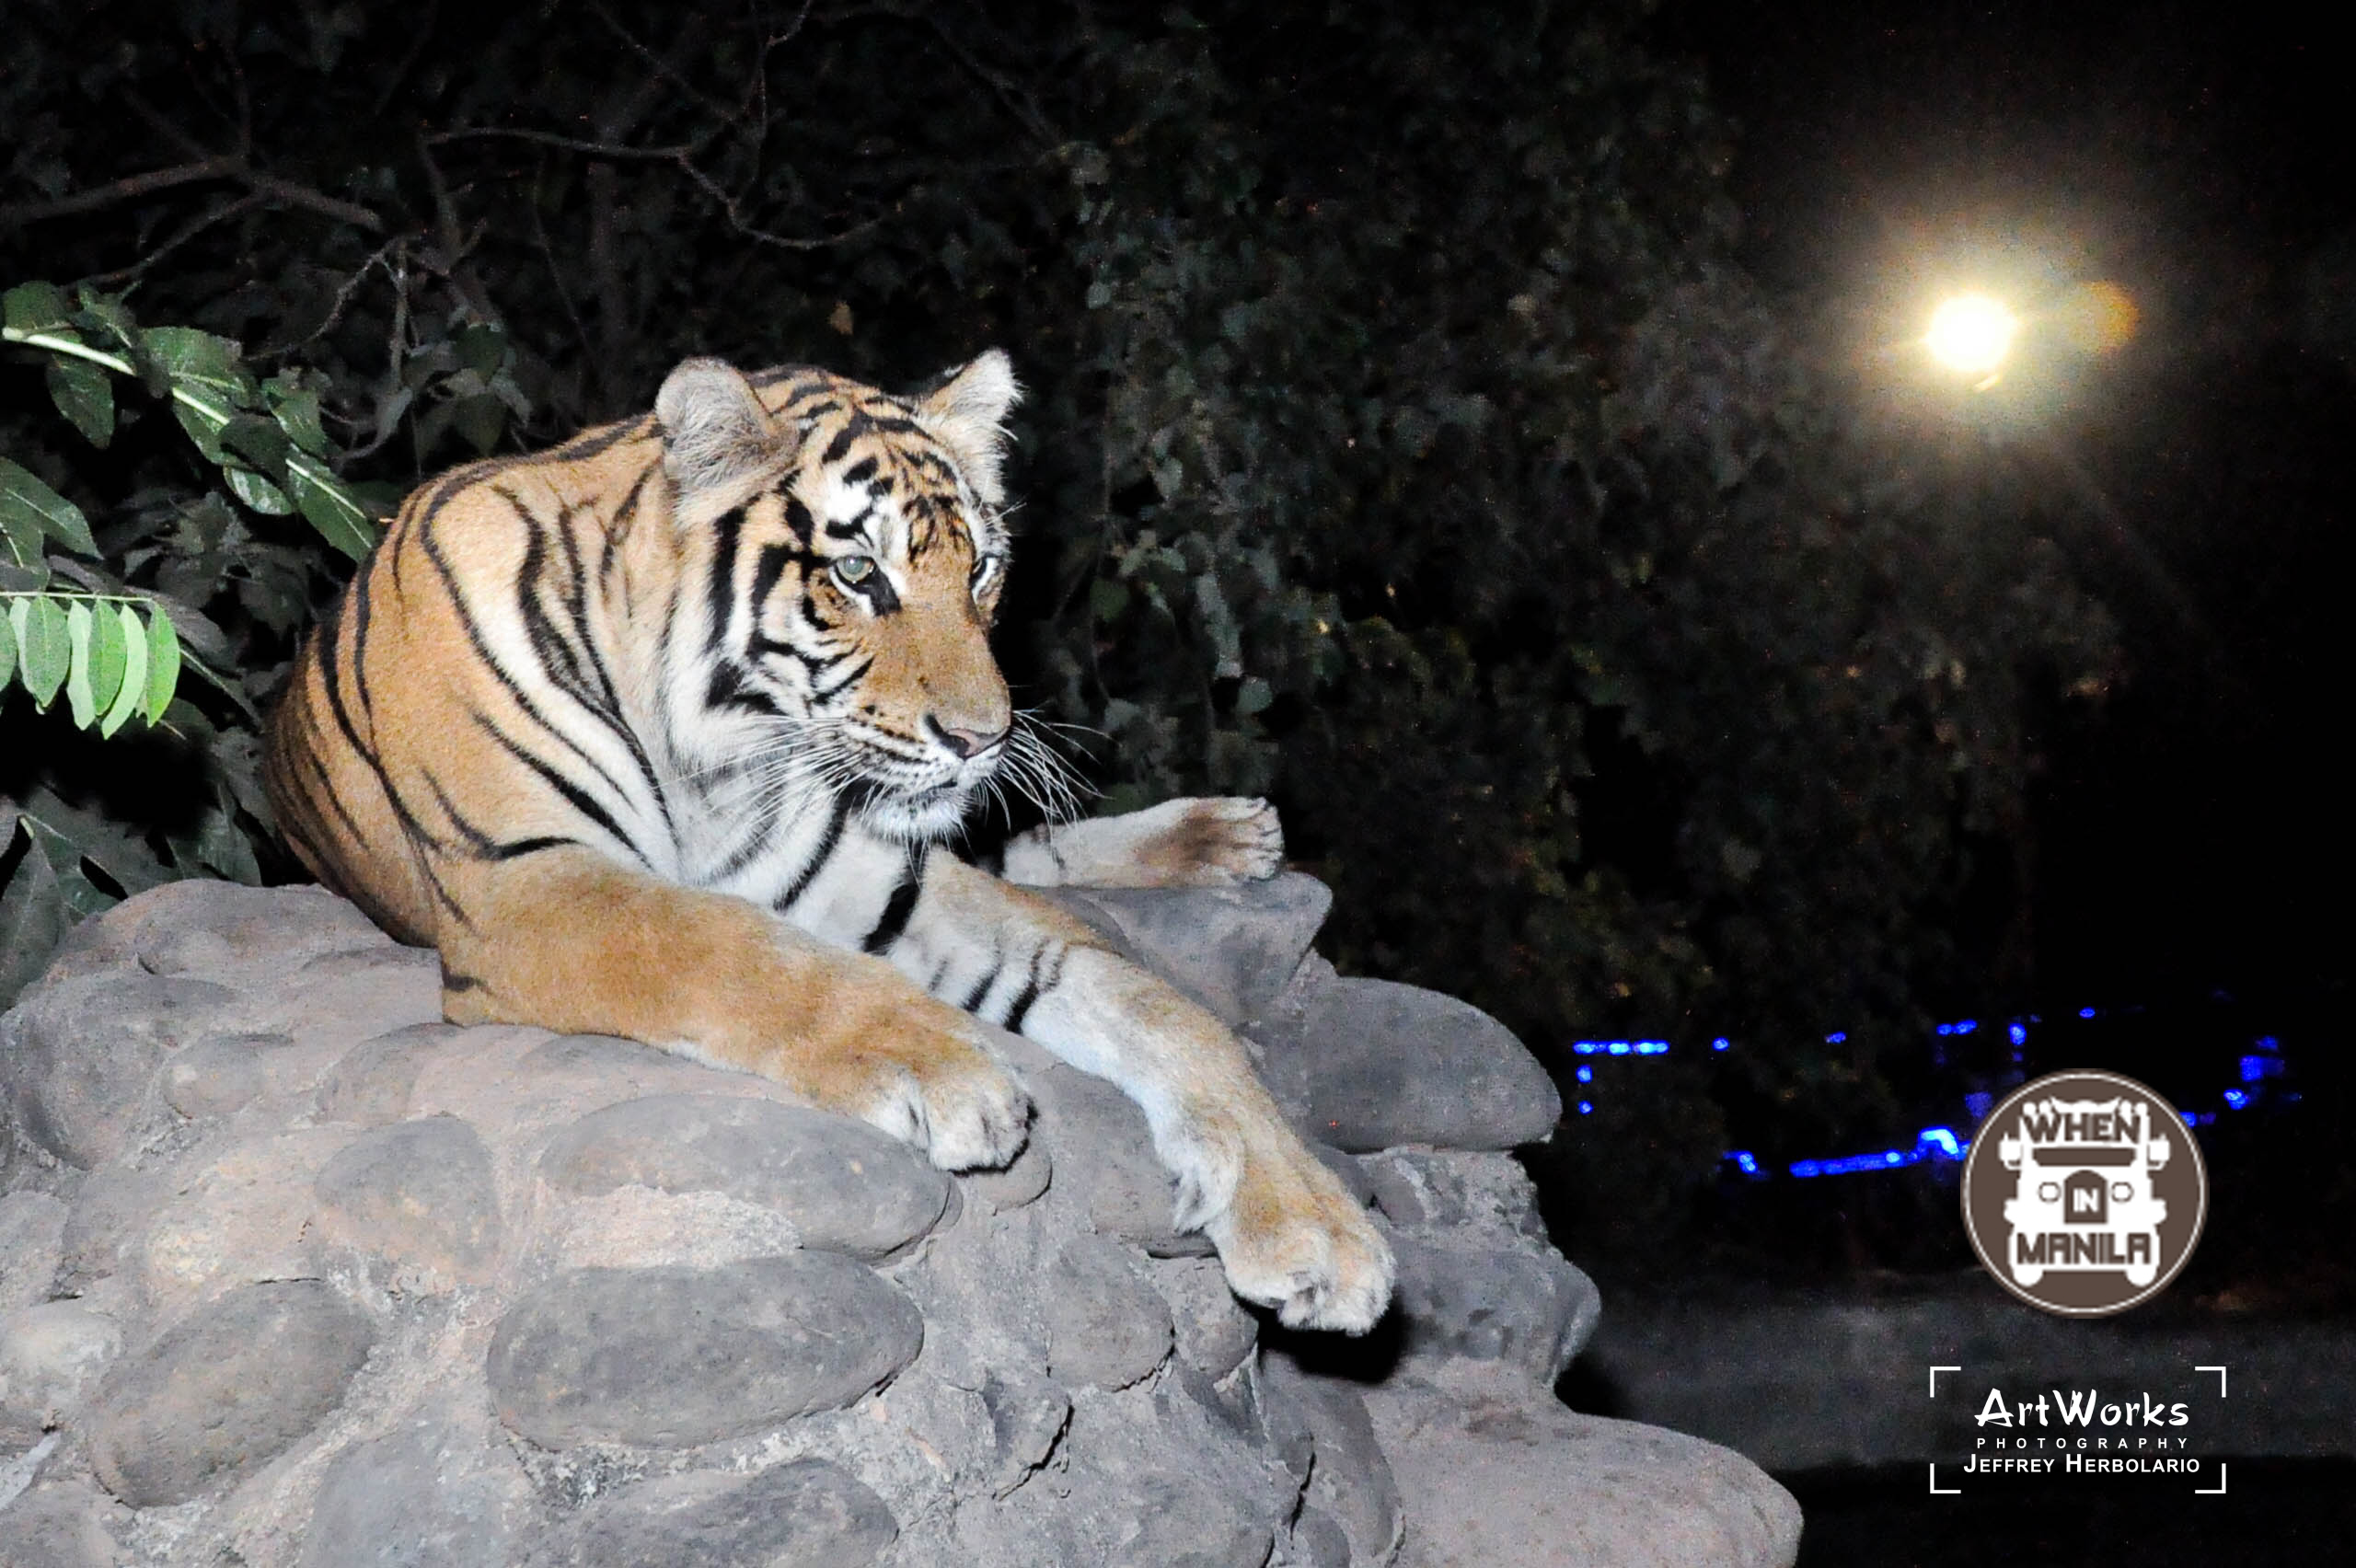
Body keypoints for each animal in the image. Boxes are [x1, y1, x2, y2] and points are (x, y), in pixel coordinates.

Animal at [262, 350, 1393, 1332]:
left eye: (982, 569)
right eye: (857, 573)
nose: (983, 740)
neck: (716, 753)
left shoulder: (877, 875)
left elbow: (1159, 1008)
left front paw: (1314, 1225)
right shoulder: (525, 884)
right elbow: (725, 946)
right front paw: (951, 1073)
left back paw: (1227, 833)